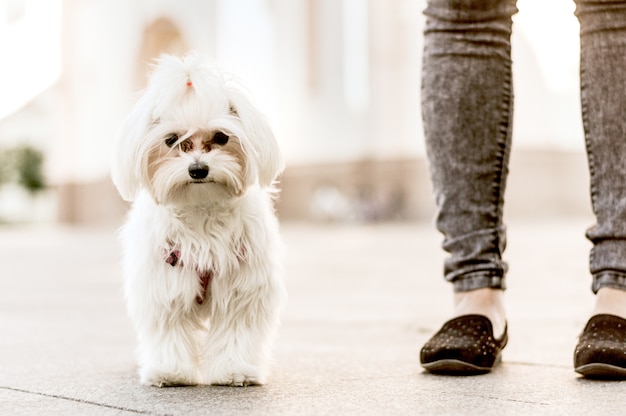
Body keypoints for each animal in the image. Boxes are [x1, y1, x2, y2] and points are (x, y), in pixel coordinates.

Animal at [111, 53, 286, 388]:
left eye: (221, 137)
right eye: (171, 140)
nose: (198, 169)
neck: (201, 209)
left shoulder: (240, 290)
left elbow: (235, 331)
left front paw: (235, 371)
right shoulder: (166, 287)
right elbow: (170, 330)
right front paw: (170, 372)